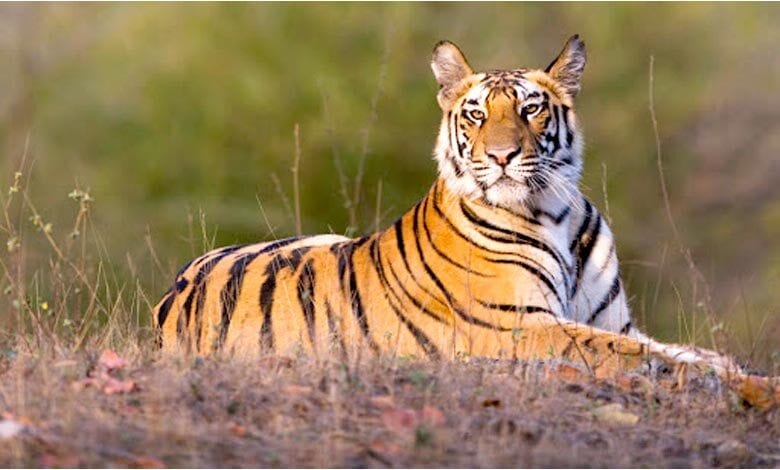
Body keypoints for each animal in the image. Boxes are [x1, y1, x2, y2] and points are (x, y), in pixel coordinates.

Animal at [153, 35, 742, 379]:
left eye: (530, 109)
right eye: (477, 114)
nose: (502, 155)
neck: (556, 212)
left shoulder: (613, 322)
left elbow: (675, 349)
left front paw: (728, 366)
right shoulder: (521, 327)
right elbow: (640, 356)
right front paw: (738, 386)